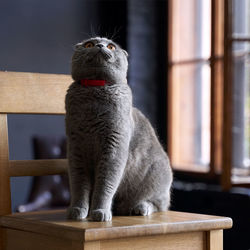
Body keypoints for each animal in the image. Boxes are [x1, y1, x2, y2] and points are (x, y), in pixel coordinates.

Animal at [65, 36, 173, 221]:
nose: (100, 45)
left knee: (160, 204)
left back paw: (140, 208)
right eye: (89, 44)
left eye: (111, 46)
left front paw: (100, 212)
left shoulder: (114, 147)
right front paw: (77, 210)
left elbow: (105, 183)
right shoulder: (75, 148)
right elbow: (79, 184)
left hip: (157, 175)